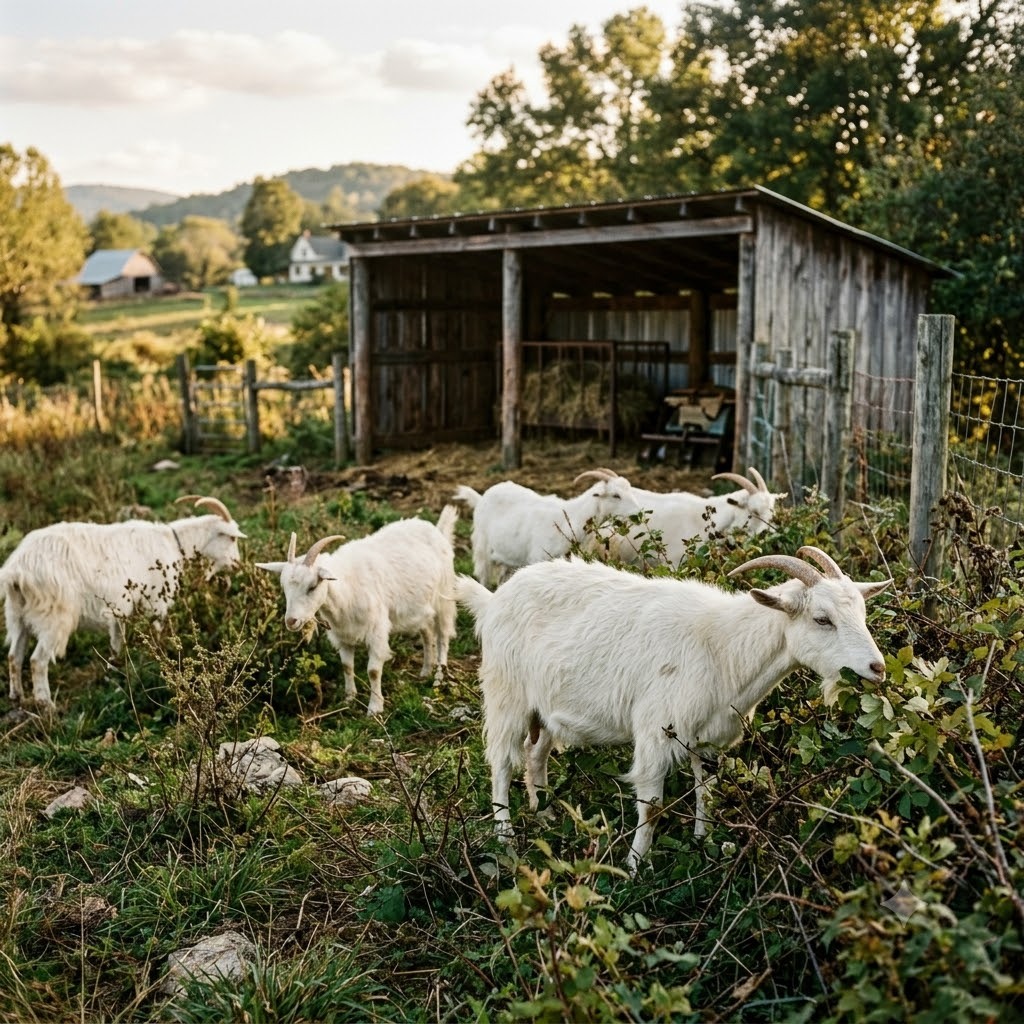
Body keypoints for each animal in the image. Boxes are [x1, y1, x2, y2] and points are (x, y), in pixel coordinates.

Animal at [3, 496, 245, 709]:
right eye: (232, 538)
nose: (238, 565)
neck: (173, 543)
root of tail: (17, 571)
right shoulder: (156, 601)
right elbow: (157, 631)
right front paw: (158, 658)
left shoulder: (121, 610)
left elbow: (118, 639)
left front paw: (115, 667)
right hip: (53, 616)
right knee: (37, 661)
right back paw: (46, 704)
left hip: (17, 615)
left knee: (14, 655)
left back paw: (17, 696)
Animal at [256, 507, 458, 717]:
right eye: (284, 587)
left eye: (312, 586)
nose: (291, 621)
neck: (346, 589)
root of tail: (436, 529)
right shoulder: (343, 634)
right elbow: (347, 666)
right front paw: (349, 698)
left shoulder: (377, 632)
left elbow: (373, 671)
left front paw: (375, 708)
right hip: (420, 606)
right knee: (427, 632)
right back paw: (426, 670)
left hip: (444, 597)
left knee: (443, 635)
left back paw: (439, 674)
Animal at [452, 469, 641, 587]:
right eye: (616, 495)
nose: (639, 512)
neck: (571, 518)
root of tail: (481, 497)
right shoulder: (538, 557)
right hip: (482, 546)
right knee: (483, 576)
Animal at [456, 546, 890, 871]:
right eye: (822, 619)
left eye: (862, 613)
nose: (877, 668)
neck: (724, 647)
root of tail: (493, 600)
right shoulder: (655, 731)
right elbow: (652, 807)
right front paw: (635, 867)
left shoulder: (708, 738)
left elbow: (706, 792)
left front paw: (704, 843)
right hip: (507, 694)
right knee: (501, 762)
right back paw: (506, 837)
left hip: (546, 709)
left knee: (535, 755)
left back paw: (545, 815)